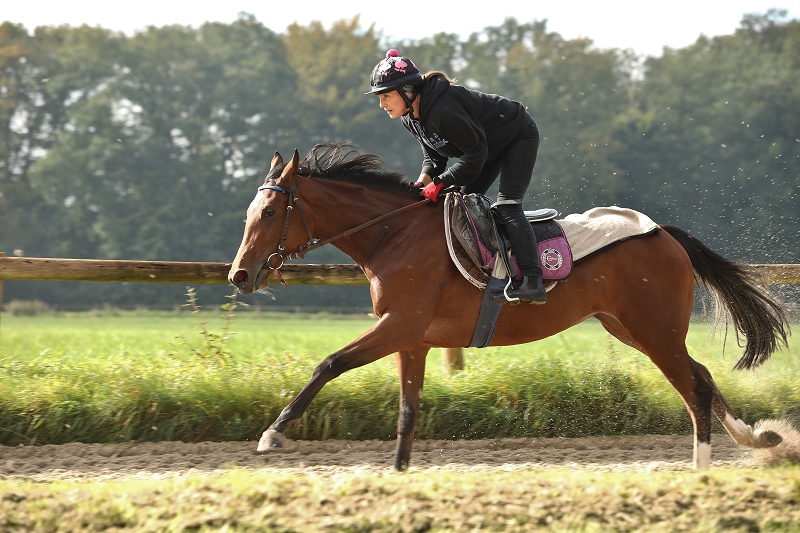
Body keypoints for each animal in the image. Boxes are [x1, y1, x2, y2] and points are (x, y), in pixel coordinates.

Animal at [228, 142, 790, 471]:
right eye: (251, 209)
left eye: (271, 211)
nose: (239, 275)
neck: (393, 234)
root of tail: (664, 233)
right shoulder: (412, 338)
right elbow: (408, 411)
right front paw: (399, 474)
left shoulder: (398, 325)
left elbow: (329, 363)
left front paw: (273, 433)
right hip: (631, 327)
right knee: (702, 376)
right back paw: (758, 439)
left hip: (654, 329)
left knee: (693, 386)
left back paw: (701, 468)